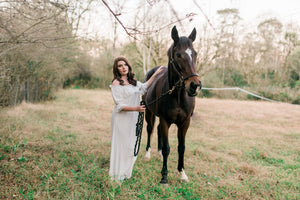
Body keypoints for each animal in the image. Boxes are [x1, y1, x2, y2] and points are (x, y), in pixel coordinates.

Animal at [143, 25, 202, 184]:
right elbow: (167, 148)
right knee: (150, 129)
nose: (194, 85)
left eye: (195, 53)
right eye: (178, 55)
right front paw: (164, 176)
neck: (178, 95)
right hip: (148, 112)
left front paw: (182, 173)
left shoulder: (185, 123)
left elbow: (181, 147)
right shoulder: (165, 121)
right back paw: (148, 154)